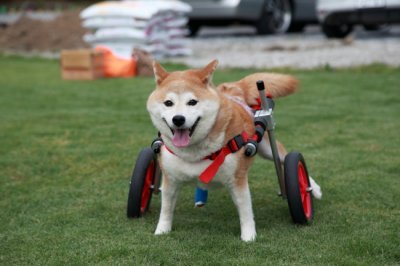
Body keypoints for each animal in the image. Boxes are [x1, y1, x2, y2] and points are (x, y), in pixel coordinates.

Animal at [147, 59, 322, 241]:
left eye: (192, 102)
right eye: (168, 103)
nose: (178, 119)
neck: (195, 153)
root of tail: (233, 88)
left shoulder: (237, 179)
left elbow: (245, 210)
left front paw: (248, 237)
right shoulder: (170, 180)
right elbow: (166, 209)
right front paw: (161, 231)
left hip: (268, 149)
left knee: (288, 158)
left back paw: (312, 188)